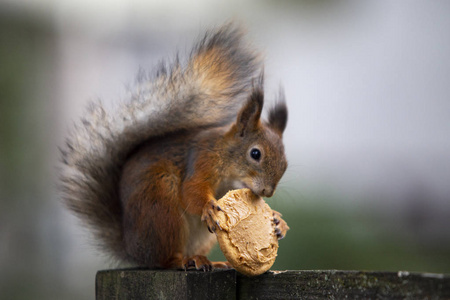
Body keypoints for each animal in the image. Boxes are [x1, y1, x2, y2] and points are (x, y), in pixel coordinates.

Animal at [59, 24, 290, 270]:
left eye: (285, 164)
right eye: (255, 153)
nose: (267, 191)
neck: (228, 166)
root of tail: (133, 250)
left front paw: (278, 220)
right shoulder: (202, 158)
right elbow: (192, 189)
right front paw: (208, 207)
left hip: (200, 236)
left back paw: (211, 261)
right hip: (160, 206)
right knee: (164, 259)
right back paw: (184, 260)